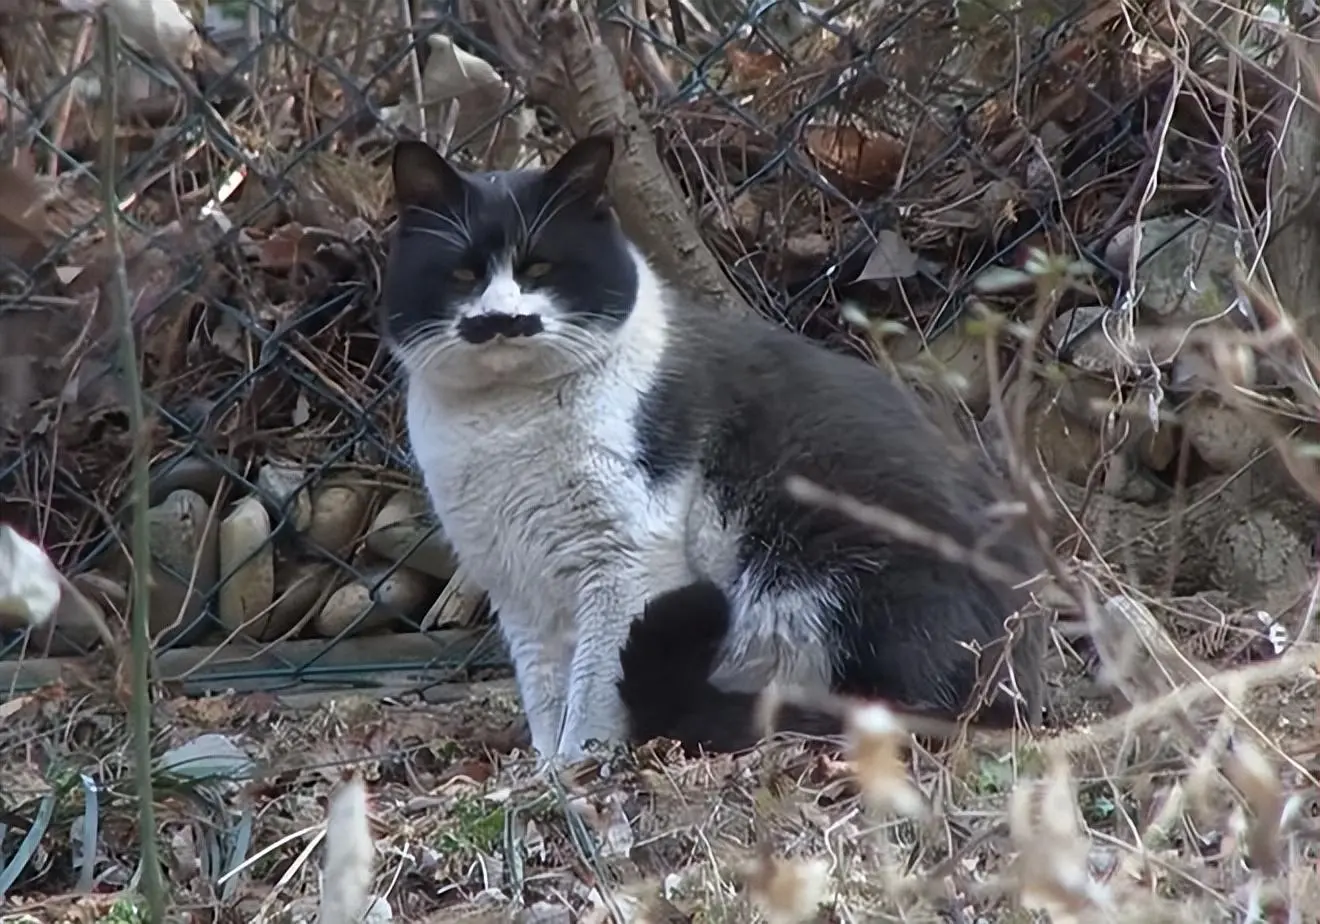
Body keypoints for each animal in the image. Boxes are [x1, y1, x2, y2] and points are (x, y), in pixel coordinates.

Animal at [377, 132, 1045, 765]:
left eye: (540, 268)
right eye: (462, 276)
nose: (502, 318)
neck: (505, 424)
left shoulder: (626, 557)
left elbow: (592, 686)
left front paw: (579, 764)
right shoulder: (515, 584)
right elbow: (544, 687)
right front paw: (545, 769)